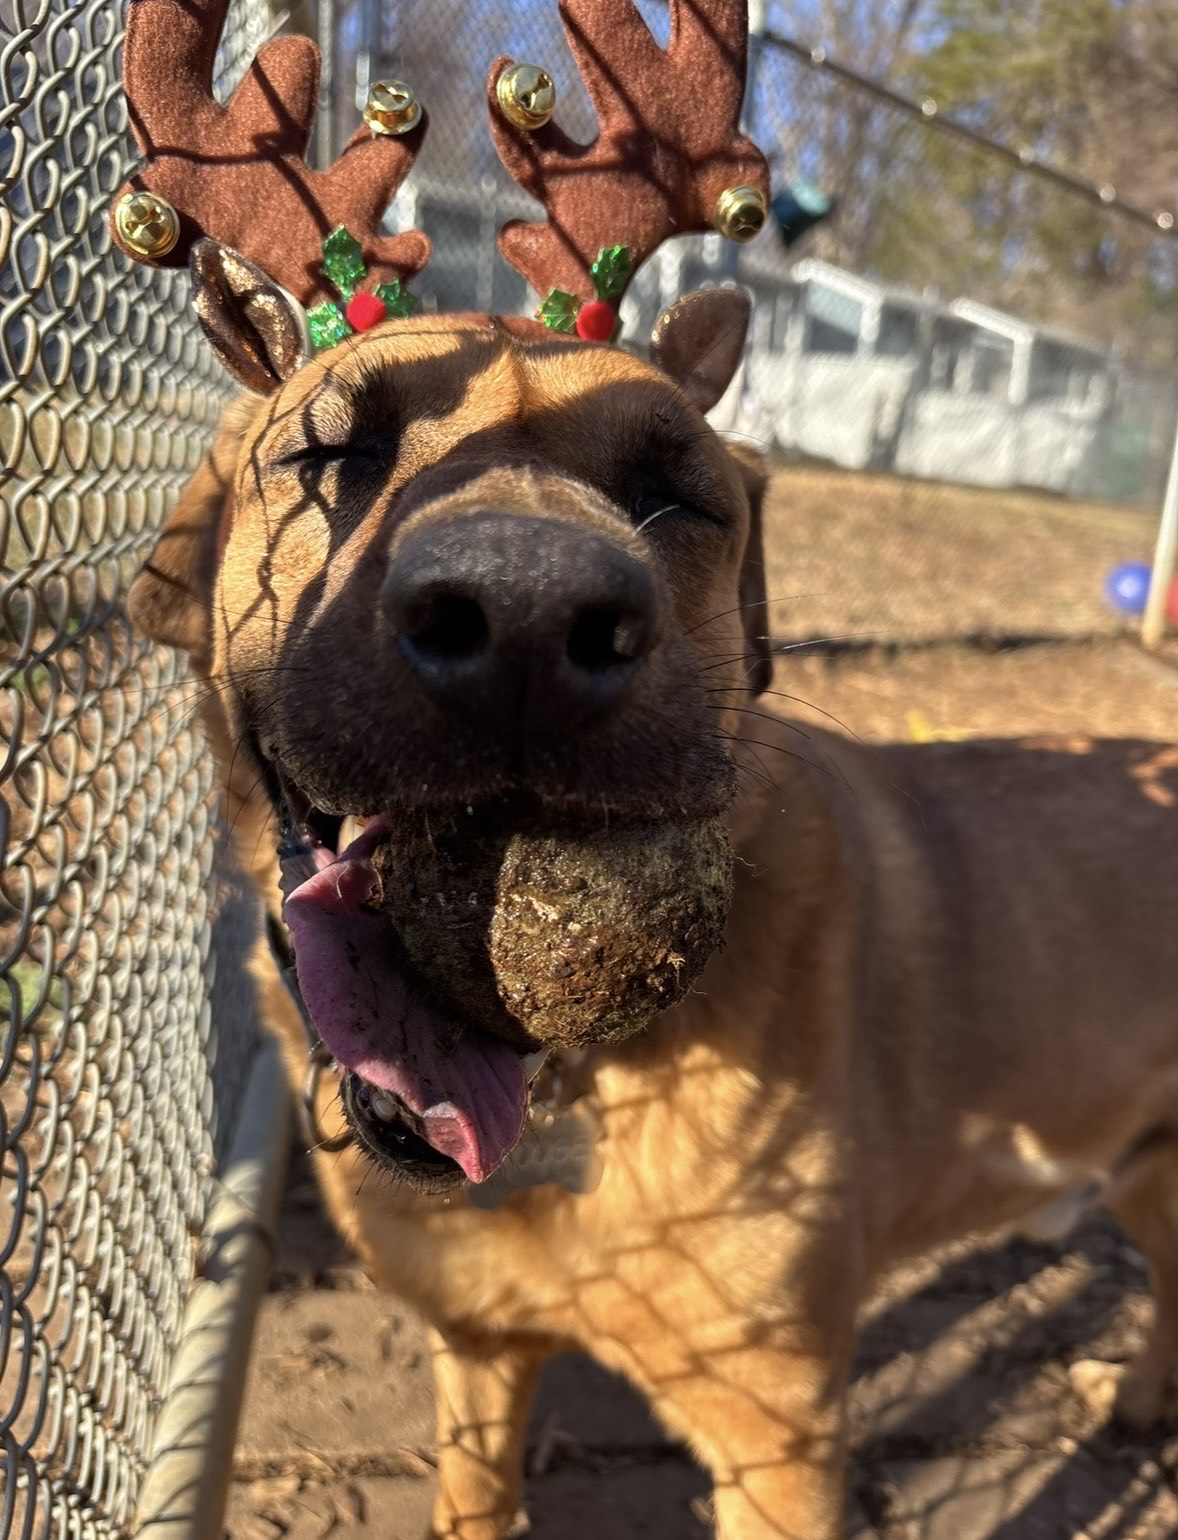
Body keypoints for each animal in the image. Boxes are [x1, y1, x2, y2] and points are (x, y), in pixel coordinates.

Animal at [128, 245, 1178, 1539]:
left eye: (680, 495)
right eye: (328, 452)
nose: (524, 615)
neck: (566, 1095)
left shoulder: (778, 1437)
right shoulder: (479, 1346)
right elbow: (472, 1496)